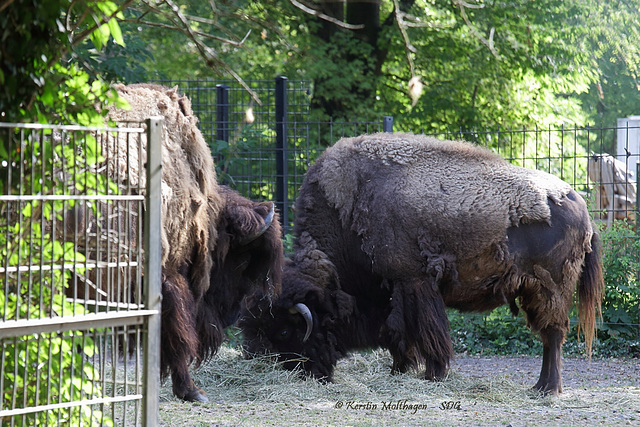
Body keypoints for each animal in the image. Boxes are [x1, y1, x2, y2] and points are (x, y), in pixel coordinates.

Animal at [240, 132, 604, 396]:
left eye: (284, 329)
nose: (299, 373)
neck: (350, 210)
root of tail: (581, 206)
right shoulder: (393, 291)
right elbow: (398, 334)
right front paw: (400, 371)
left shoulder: (413, 283)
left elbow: (421, 332)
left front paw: (432, 374)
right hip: (534, 292)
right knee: (547, 335)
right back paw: (540, 386)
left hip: (551, 289)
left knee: (553, 334)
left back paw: (548, 389)